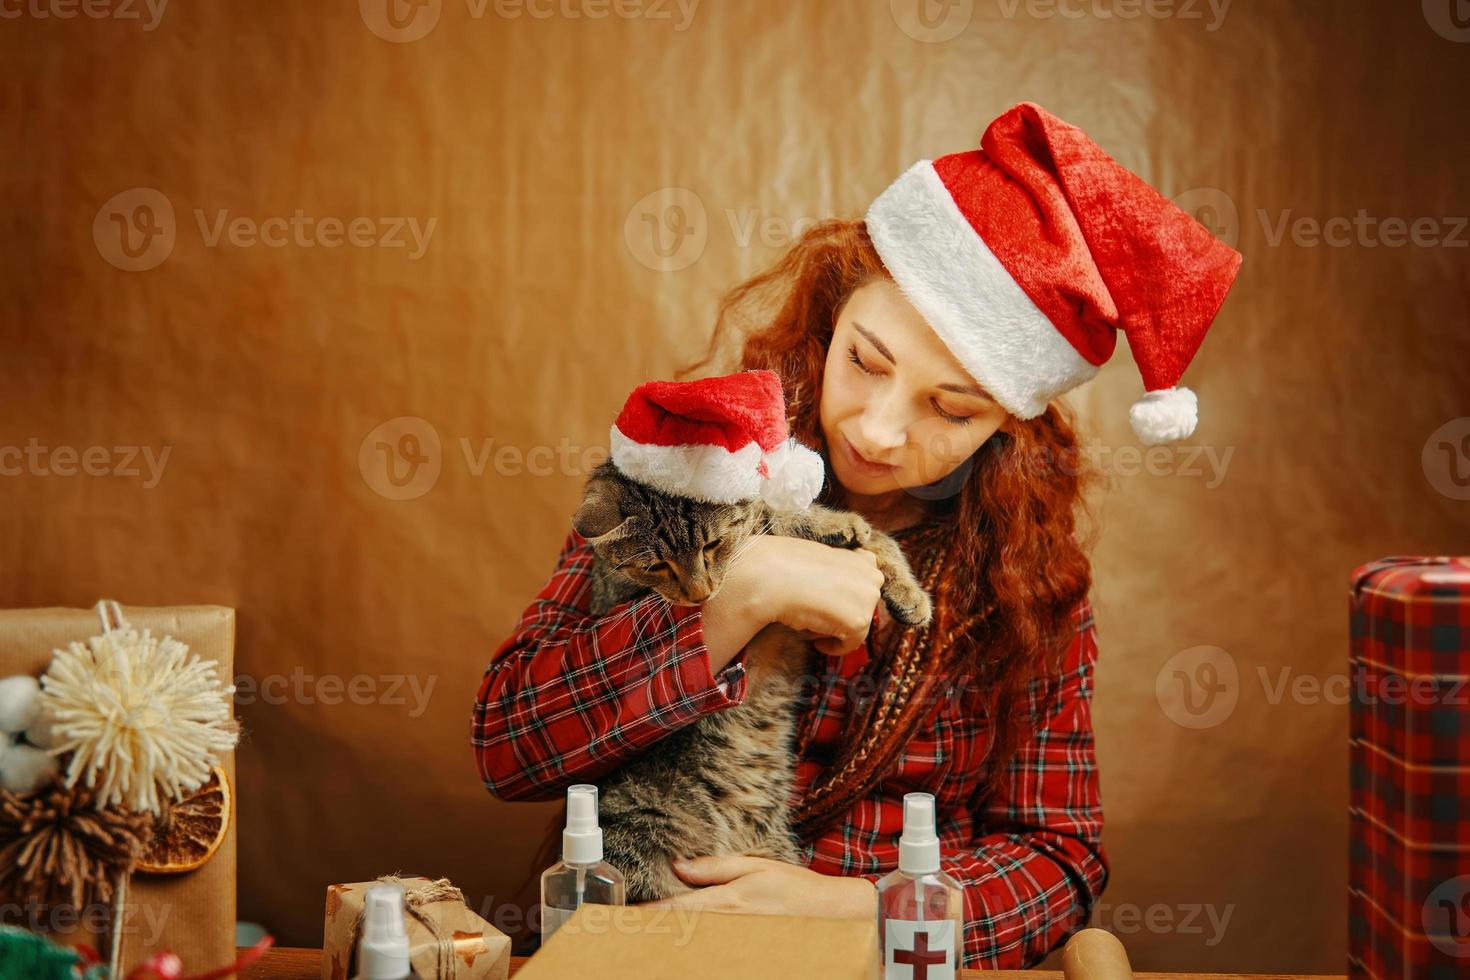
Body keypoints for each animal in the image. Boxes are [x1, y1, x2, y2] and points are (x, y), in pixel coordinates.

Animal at [567, 461, 934, 905]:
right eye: (656, 567)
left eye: (712, 545)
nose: (699, 594)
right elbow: (777, 520)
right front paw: (832, 525)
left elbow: (880, 540)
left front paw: (909, 593)